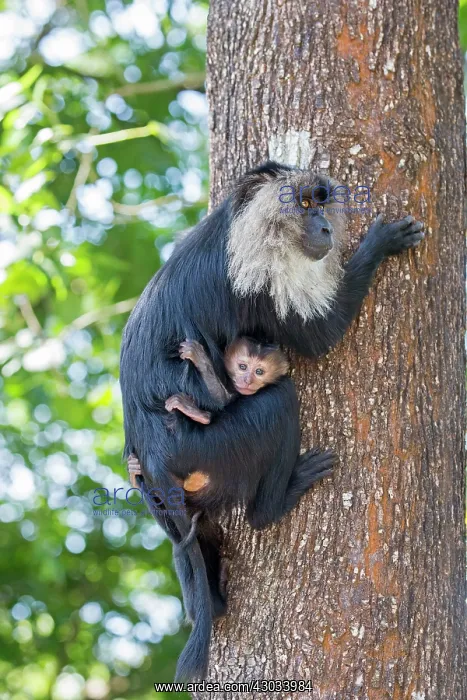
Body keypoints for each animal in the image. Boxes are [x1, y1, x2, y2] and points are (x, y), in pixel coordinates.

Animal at [120, 161, 424, 680]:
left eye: (321, 204)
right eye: (304, 205)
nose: (325, 228)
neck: (233, 226)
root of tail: (155, 456)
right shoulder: (265, 276)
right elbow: (321, 336)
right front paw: (380, 243)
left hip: (157, 492)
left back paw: (209, 599)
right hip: (212, 446)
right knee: (279, 405)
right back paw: (277, 501)